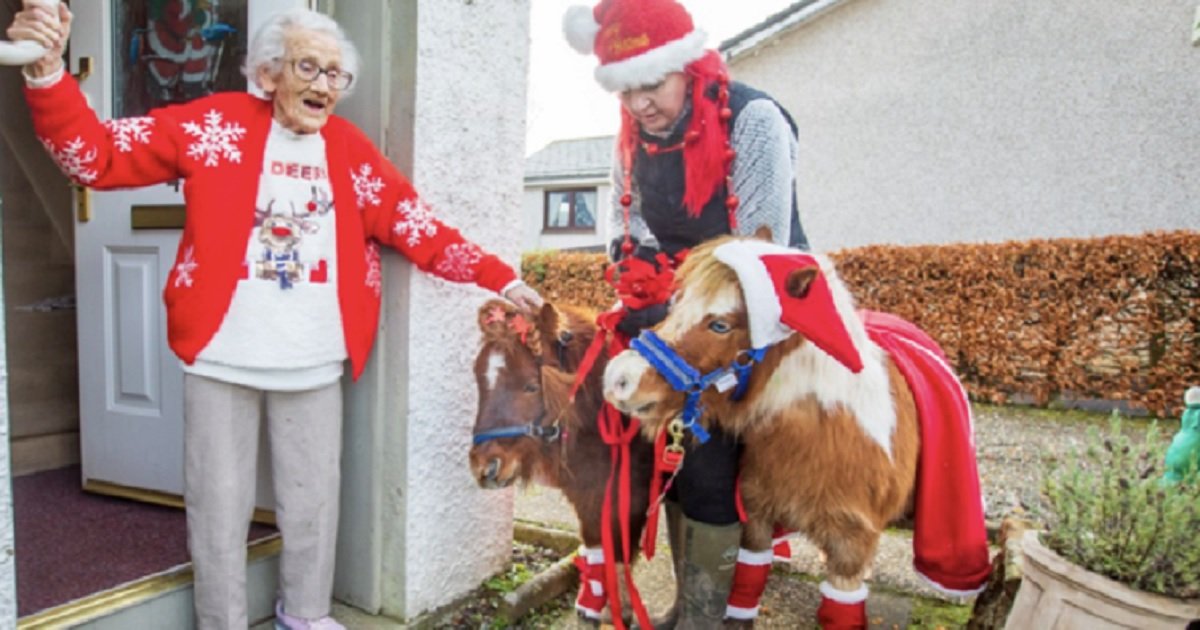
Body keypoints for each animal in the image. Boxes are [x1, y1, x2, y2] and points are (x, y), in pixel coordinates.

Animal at [468, 300, 657, 624]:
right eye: (480, 380)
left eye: (531, 386)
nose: (485, 468)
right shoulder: (588, 490)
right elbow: (596, 542)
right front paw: (594, 603)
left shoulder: (631, 493)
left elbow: (620, 545)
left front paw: (618, 609)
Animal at [604, 232, 988, 624]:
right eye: (676, 303)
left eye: (721, 325)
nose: (619, 378)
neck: (824, 436)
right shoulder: (756, 518)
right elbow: (745, 588)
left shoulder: (849, 547)